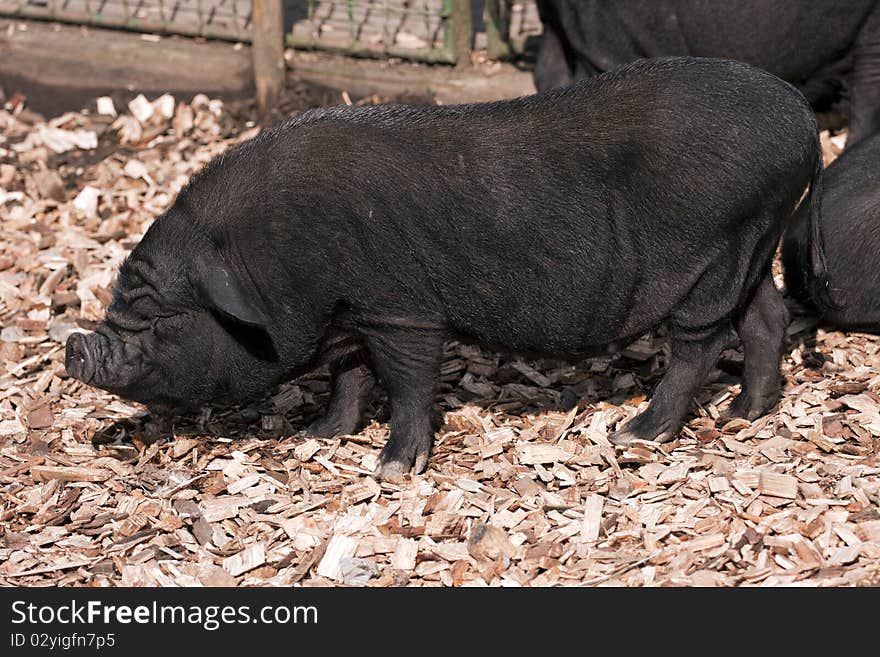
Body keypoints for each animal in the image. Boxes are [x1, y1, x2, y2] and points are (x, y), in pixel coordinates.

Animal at [67, 56, 824, 476]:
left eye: (161, 318)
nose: (76, 347)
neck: (276, 256)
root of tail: (807, 123)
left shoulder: (401, 306)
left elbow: (406, 382)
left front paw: (392, 468)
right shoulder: (354, 312)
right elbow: (349, 376)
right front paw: (321, 435)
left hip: (715, 251)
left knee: (701, 342)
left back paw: (637, 432)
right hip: (750, 243)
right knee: (766, 314)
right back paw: (747, 413)